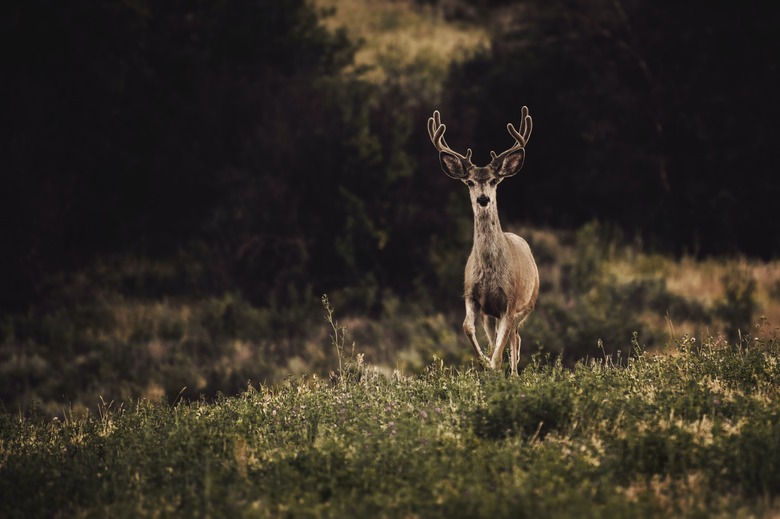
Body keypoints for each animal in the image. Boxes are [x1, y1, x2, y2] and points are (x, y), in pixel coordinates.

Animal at [430, 106, 540, 374]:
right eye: (469, 181)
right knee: (507, 337)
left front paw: (494, 366)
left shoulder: (510, 301)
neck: (490, 270)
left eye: (494, 180)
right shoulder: (472, 295)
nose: (483, 199)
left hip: (528, 303)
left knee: (514, 337)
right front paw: (484, 363)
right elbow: (466, 327)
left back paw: (514, 373)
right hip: (491, 314)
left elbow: (501, 348)